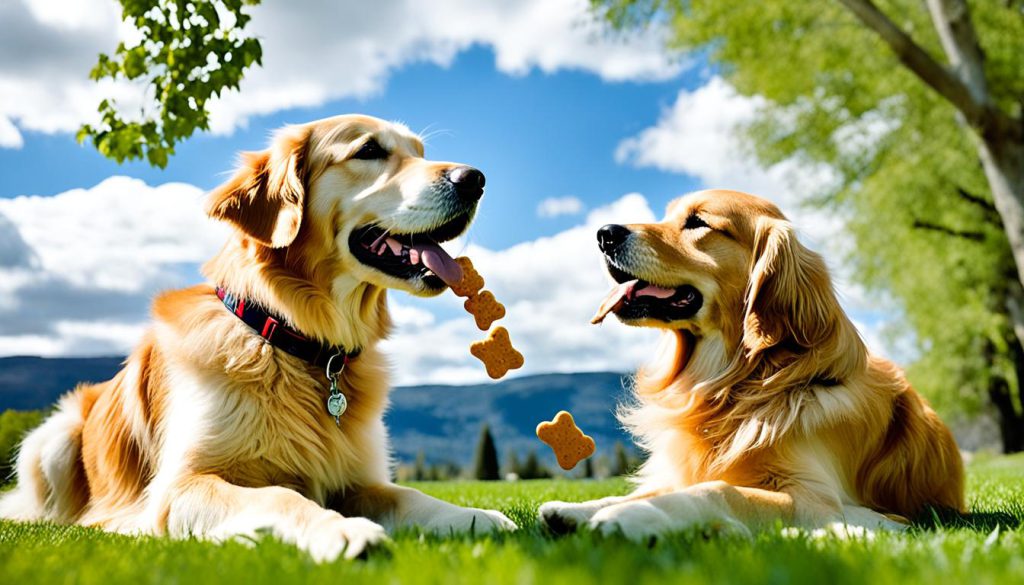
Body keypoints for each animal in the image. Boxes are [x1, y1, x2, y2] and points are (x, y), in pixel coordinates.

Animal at [0, 115, 512, 561]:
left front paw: (475, 516)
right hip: (51, 441)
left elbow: (410, 495)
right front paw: (339, 530)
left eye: (419, 152)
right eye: (369, 151)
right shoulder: (182, 485)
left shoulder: (358, 479)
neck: (294, 341)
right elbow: (277, 497)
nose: (476, 179)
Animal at [540, 191, 962, 540]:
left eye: (698, 222)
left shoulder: (819, 501)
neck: (739, 385)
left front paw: (630, 518)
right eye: (667, 216)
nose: (604, 234)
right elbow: (647, 489)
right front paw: (577, 509)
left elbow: (717, 490)